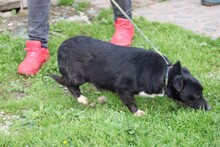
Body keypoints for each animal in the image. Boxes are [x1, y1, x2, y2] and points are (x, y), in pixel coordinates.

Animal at [50, 35, 211, 116]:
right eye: (196, 94)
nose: (209, 108)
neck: (165, 74)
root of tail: (61, 46)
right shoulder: (123, 89)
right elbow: (131, 103)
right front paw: (138, 113)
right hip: (77, 75)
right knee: (68, 84)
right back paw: (81, 99)